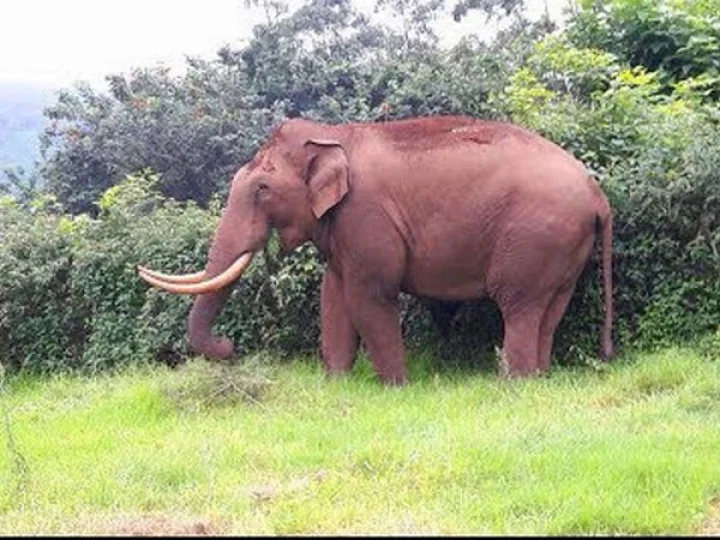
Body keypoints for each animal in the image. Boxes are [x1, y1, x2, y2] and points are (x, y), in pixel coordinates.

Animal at [138, 115, 614, 385]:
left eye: (262, 189)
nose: (230, 346)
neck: (332, 136)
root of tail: (597, 193)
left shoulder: (366, 215)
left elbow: (369, 296)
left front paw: (397, 388)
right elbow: (333, 297)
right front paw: (334, 386)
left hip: (535, 235)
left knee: (519, 306)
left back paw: (515, 384)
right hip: (564, 246)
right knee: (549, 310)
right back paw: (540, 378)